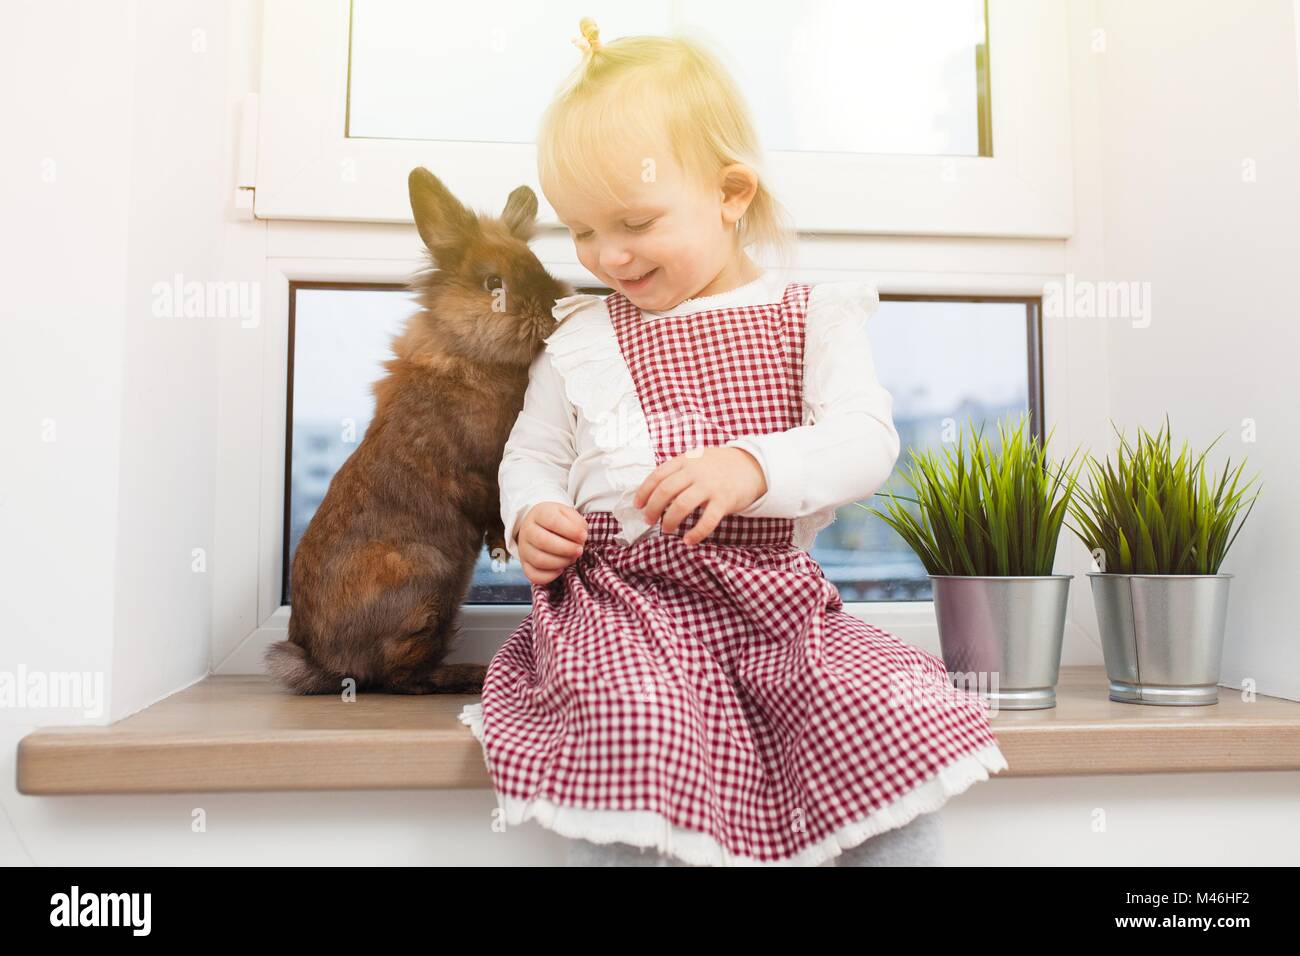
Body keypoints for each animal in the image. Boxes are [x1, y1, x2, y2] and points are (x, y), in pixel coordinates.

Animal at [262, 167, 569, 697]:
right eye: (494, 282)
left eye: (537, 264)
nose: (553, 307)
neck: (468, 355)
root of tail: (324, 662)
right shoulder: (481, 469)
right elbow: (492, 504)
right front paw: (502, 551)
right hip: (426, 587)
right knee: (397, 677)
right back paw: (466, 674)